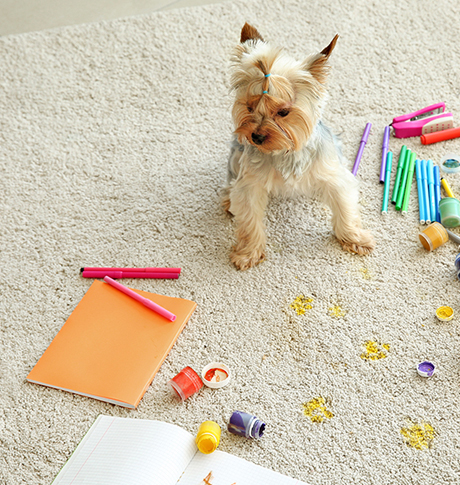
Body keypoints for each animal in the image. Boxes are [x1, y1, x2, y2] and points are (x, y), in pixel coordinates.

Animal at [221, 24, 376, 270]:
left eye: (283, 112)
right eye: (250, 107)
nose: (256, 136)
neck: (285, 151)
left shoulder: (334, 177)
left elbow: (345, 209)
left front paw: (355, 238)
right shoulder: (250, 185)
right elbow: (249, 221)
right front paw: (248, 253)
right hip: (236, 155)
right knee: (231, 180)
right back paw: (228, 198)